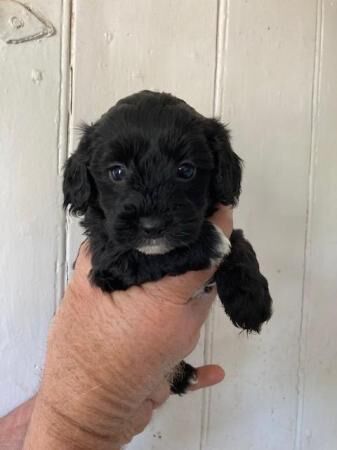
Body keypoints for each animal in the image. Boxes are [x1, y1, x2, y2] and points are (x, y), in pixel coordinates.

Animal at [63, 90, 272, 394]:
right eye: (117, 172)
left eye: (186, 170)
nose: (152, 226)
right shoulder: (111, 263)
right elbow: (158, 255)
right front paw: (212, 242)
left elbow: (241, 243)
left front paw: (251, 300)